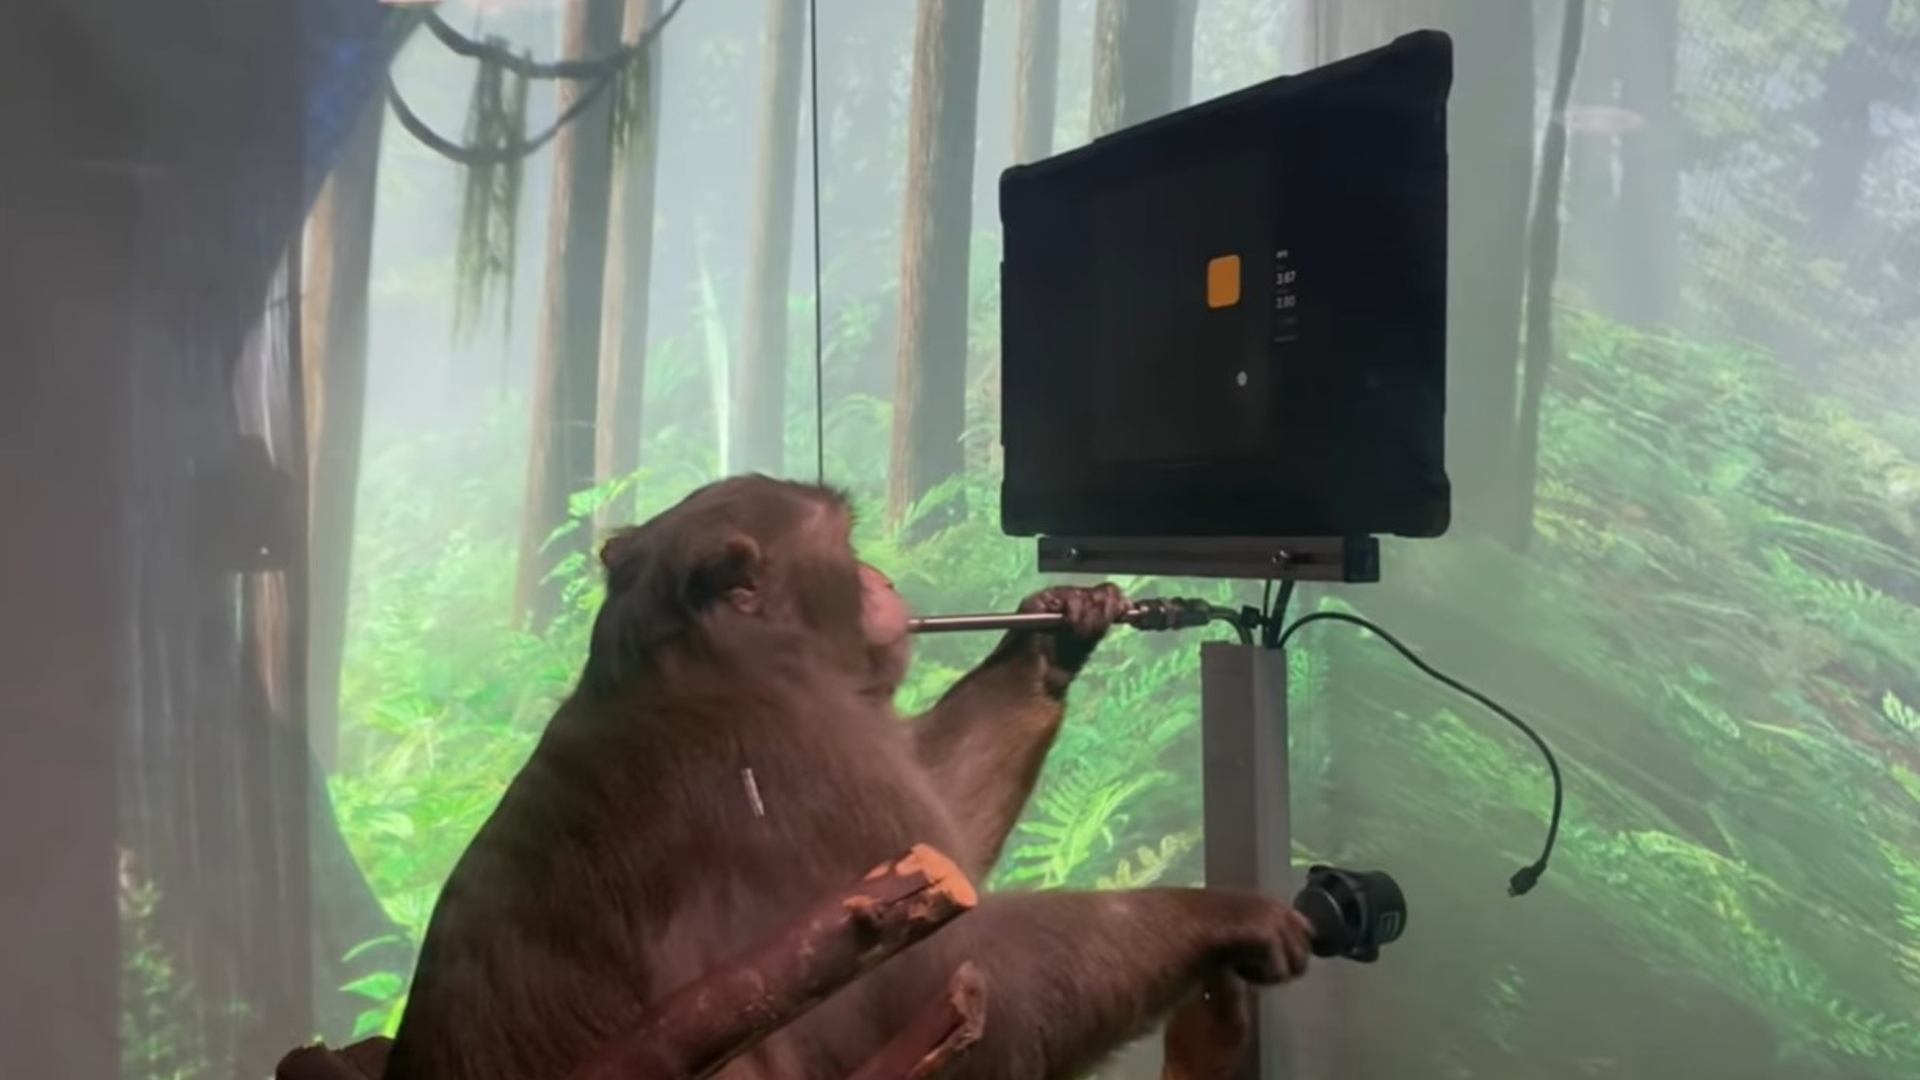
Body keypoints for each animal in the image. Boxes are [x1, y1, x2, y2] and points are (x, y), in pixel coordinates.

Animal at [381, 474, 1314, 1080]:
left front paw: (1055, 632)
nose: (883, 577)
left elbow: (942, 847)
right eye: (850, 545)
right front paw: (1218, 916)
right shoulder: (794, 763)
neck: (705, 662)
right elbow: (953, 985)